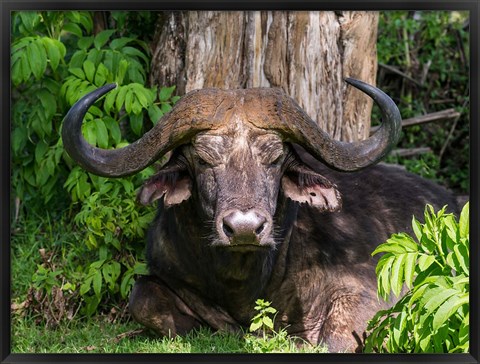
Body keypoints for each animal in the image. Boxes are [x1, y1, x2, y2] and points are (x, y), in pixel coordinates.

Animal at [62, 79, 460, 352]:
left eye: (274, 158)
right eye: (203, 159)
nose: (243, 228)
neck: (245, 281)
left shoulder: (367, 291)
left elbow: (334, 337)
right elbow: (141, 297)